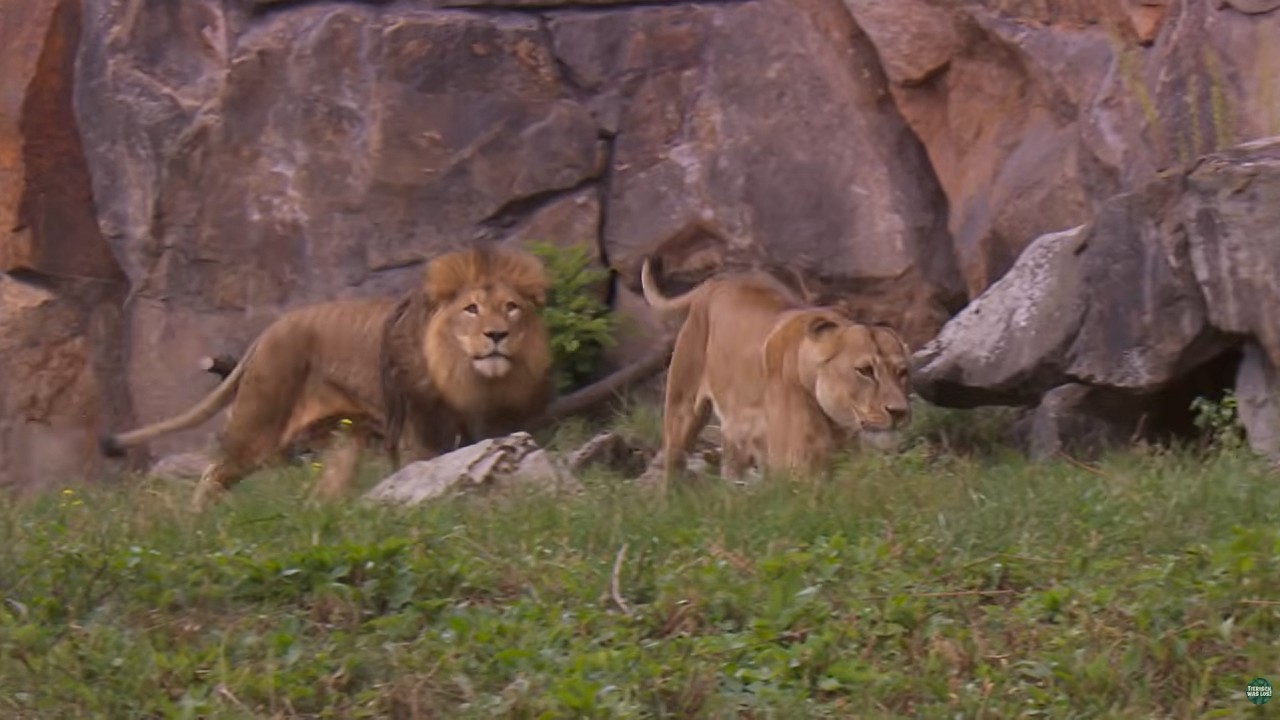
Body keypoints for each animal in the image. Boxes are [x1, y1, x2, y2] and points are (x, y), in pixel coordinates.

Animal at [100, 246, 554, 511]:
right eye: (471, 309)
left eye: (511, 307)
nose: (497, 335)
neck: (467, 374)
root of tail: (268, 332)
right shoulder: (417, 431)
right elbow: (425, 468)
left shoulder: (482, 424)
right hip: (259, 424)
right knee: (213, 472)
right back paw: (197, 525)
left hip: (343, 439)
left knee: (322, 494)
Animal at [640, 257, 913, 489]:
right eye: (865, 371)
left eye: (902, 372)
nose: (899, 412)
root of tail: (714, 281)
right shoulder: (795, 468)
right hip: (682, 410)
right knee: (673, 462)